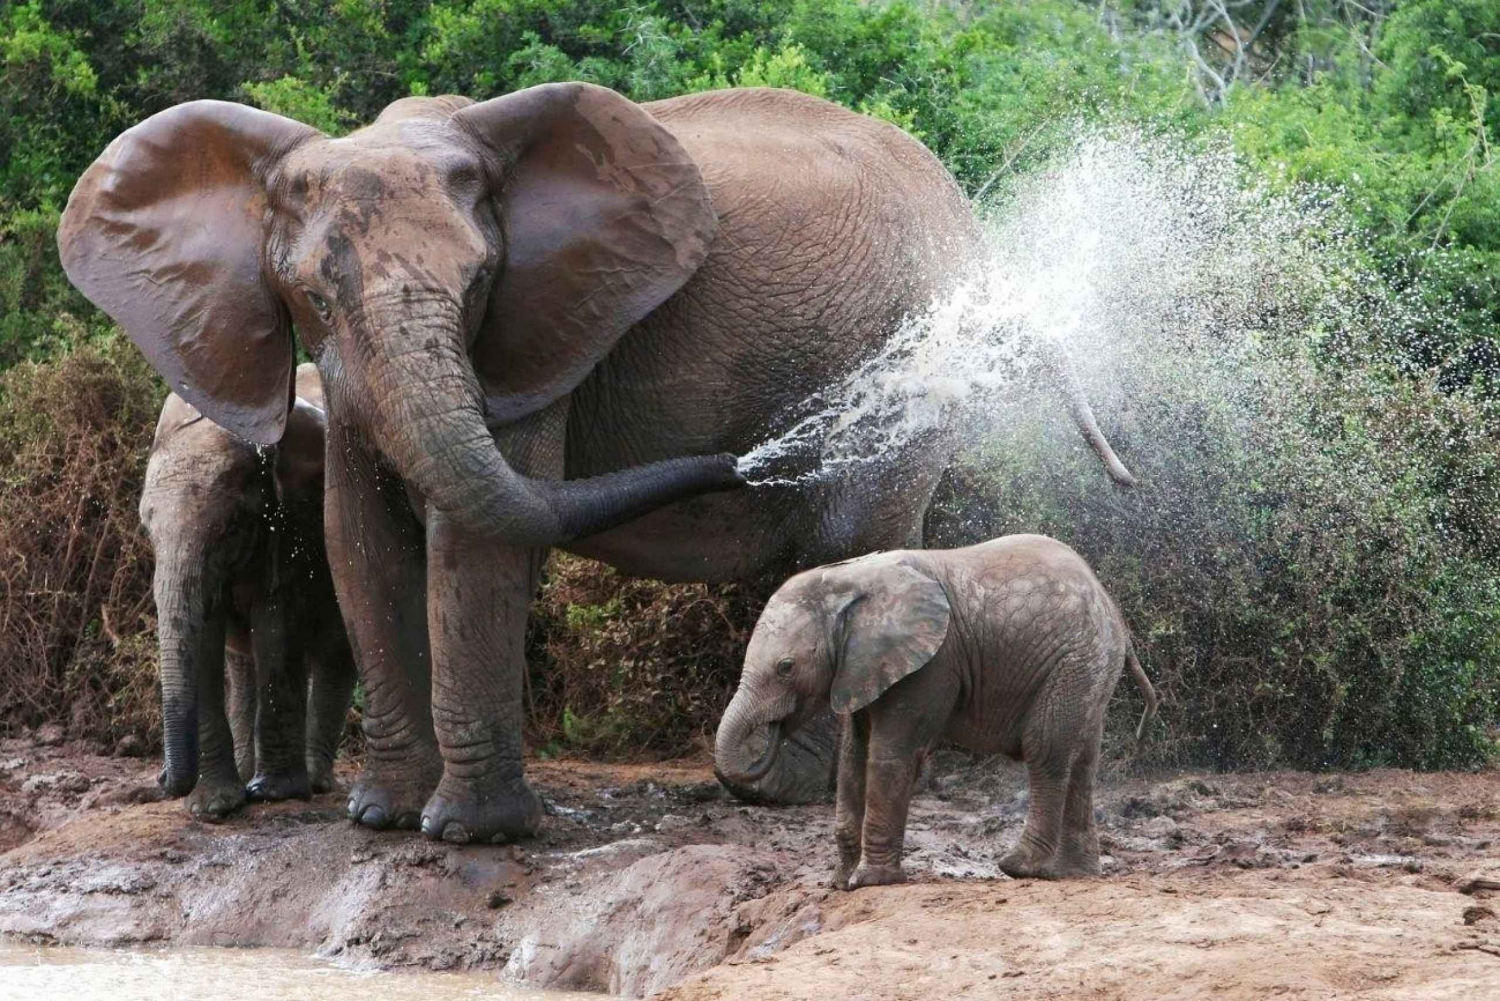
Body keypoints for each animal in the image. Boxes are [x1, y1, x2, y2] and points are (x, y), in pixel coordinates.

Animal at [143, 364, 360, 816]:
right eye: (147, 530)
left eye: (229, 528)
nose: (161, 778)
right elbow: (206, 638)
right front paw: (214, 808)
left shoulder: (294, 523)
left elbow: (276, 625)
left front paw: (275, 793)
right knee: (242, 664)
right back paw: (248, 777)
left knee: (336, 653)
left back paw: (314, 782)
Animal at [717, 537, 1158, 888]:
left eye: (786, 667)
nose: (772, 730)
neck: (849, 578)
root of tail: (1114, 611)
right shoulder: (863, 667)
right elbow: (852, 759)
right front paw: (840, 883)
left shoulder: (932, 664)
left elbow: (891, 755)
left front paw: (870, 882)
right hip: (1090, 668)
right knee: (1082, 759)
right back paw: (1073, 873)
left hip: (1074, 661)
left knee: (1046, 750)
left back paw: (1020, 866)